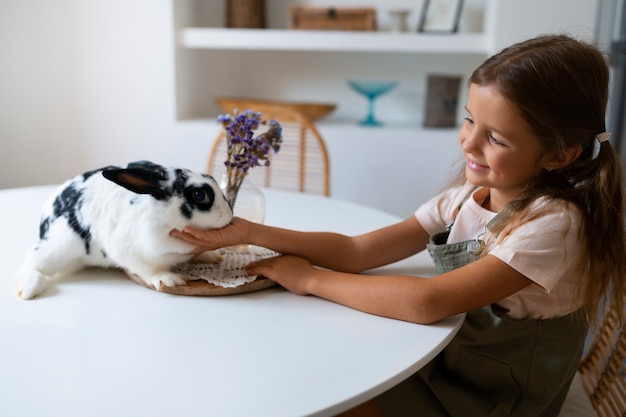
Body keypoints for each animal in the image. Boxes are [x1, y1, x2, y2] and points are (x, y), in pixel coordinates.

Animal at [15, 160, 233, 300]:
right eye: (199, 195)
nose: (229, 215)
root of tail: (44, 216)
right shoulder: (131, 251)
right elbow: (148, 269)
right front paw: (169, 279)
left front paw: (212, 256)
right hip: (60, 247)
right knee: (32, 259)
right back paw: (28, 288)